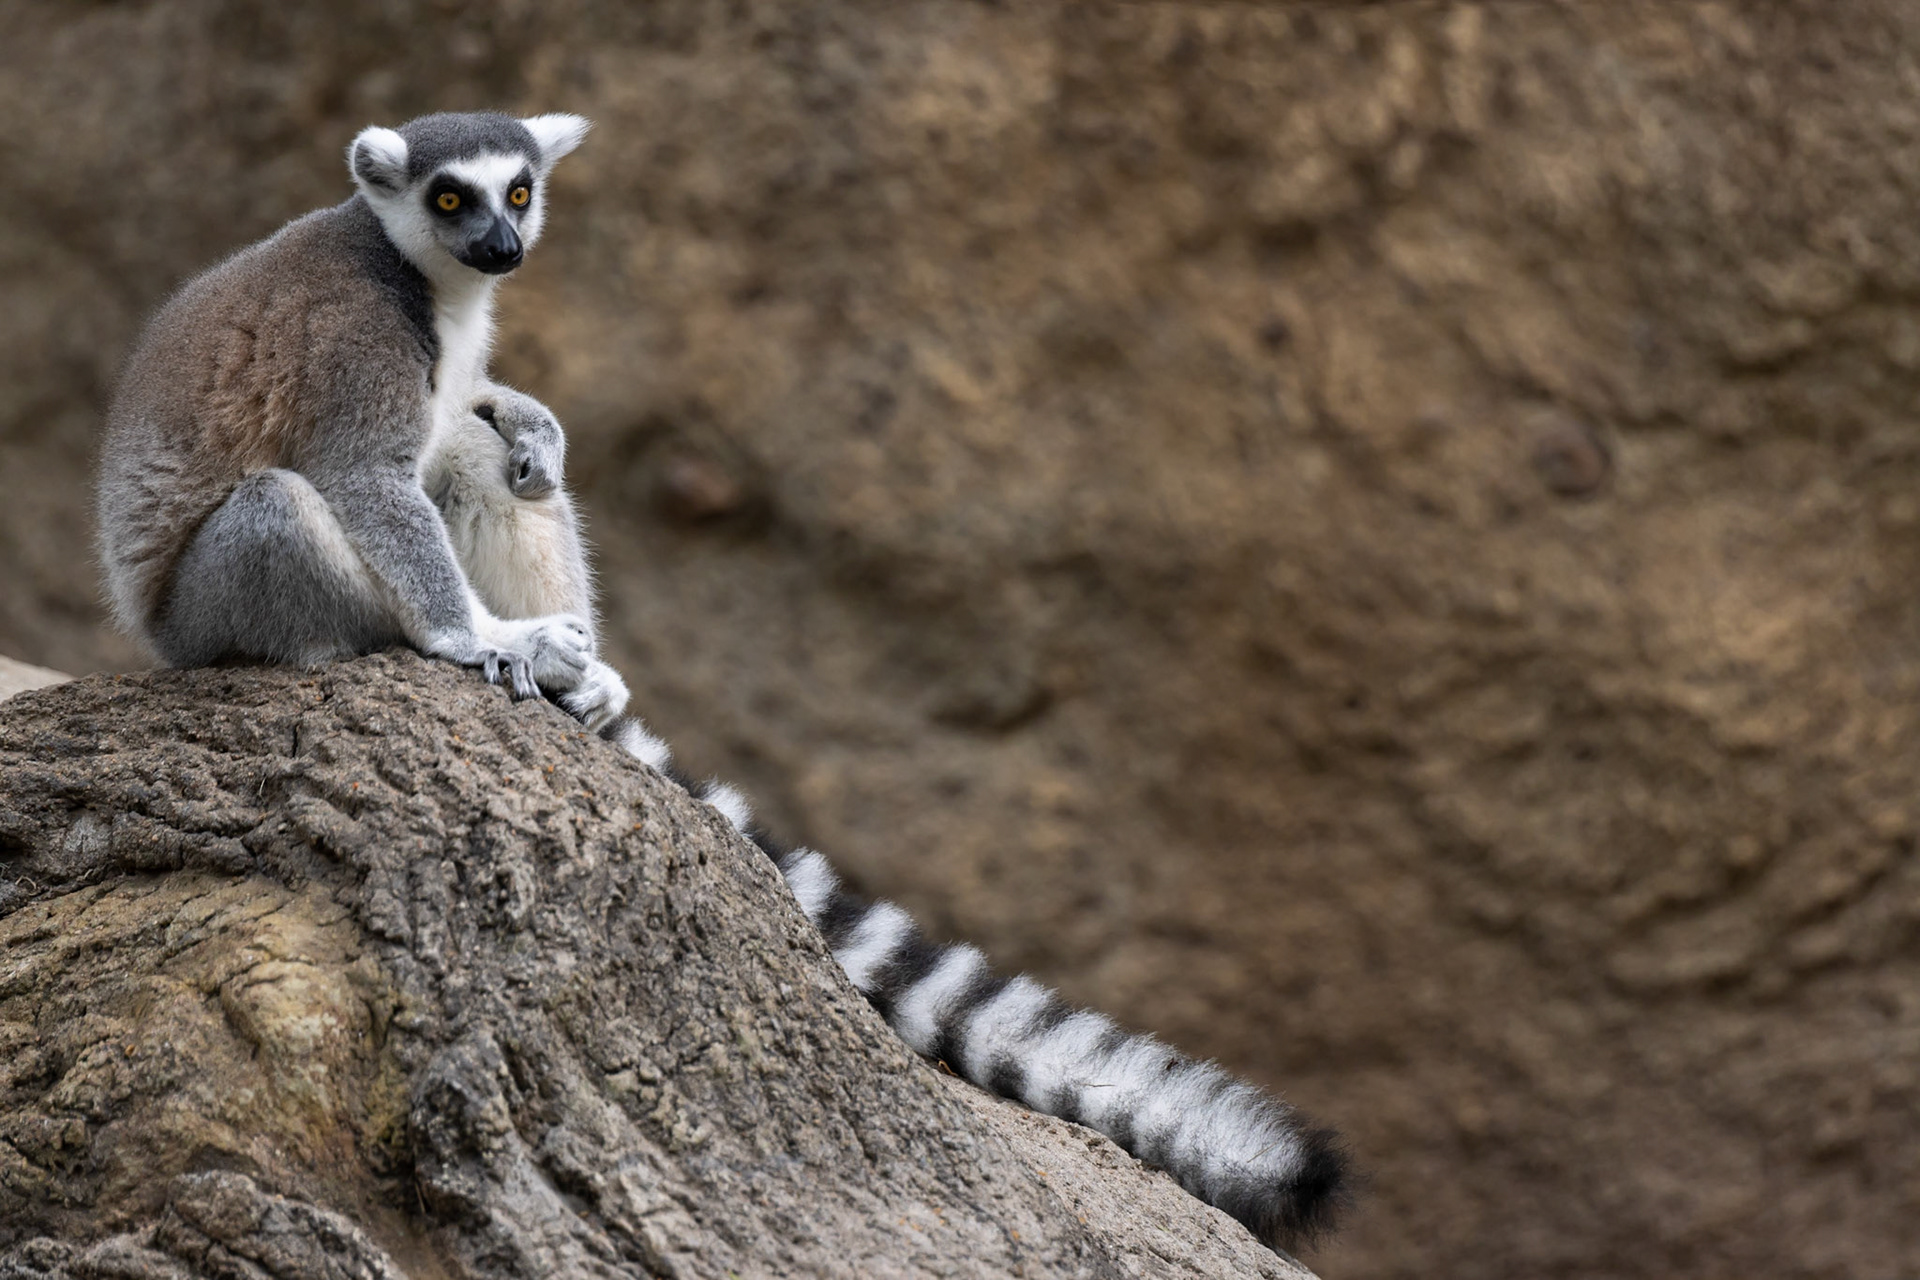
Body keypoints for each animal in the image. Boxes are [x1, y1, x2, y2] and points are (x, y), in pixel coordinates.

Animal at [94, 111, 1347, 1253]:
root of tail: (155, 629)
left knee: (481, 461)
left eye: (519, 190)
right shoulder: (357, 339)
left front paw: (528, 422)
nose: (501, 245)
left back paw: (578, 668)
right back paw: (447, 647)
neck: (426, 281)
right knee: (284, 506)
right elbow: (364, 474)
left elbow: (477, 431)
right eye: (452, 199)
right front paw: (466, 639)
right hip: (221, 607)